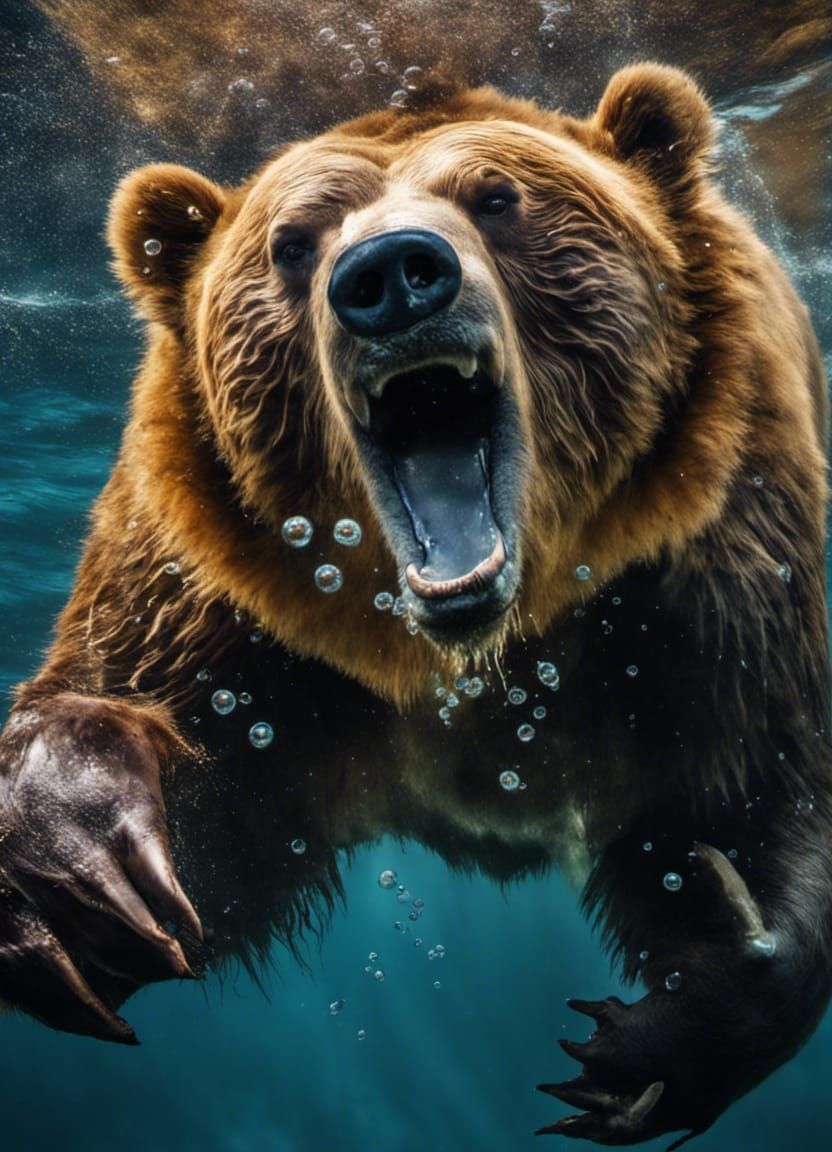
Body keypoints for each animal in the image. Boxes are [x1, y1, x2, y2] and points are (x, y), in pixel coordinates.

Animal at [0, 64, 829, 1148]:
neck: (477, 650)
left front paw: (657, 1041)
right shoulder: (232, 621)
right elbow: (199, 829)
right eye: (291, 241)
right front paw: (84, 869)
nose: (390, 274)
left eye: (498, 197)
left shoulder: (713, 586)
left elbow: (744, 793)